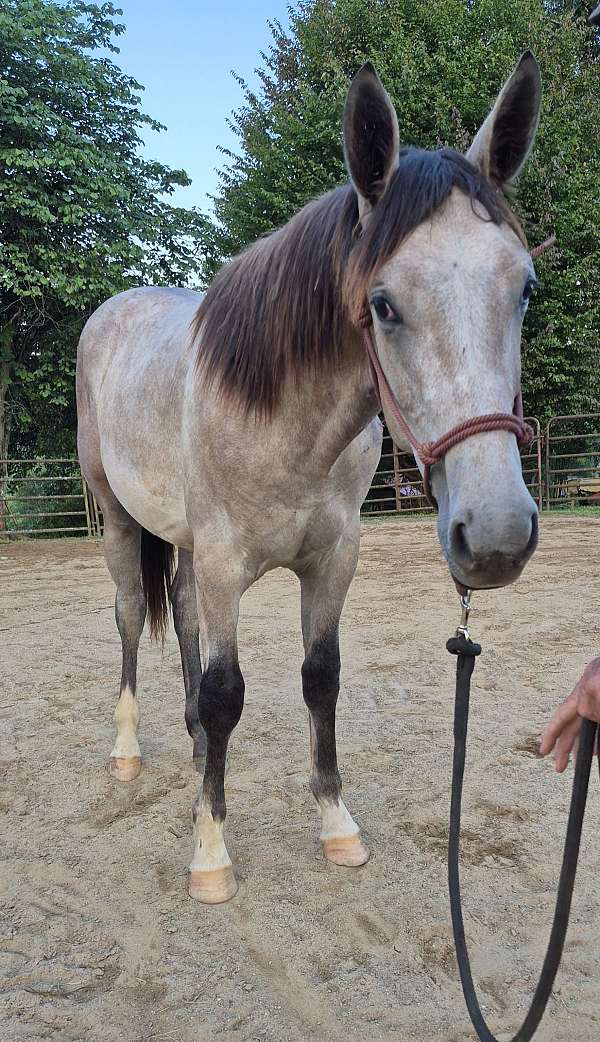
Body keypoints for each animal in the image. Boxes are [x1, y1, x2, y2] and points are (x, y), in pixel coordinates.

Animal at [76, 53, 541, 904]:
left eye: (524, 288)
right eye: (383, 304)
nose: (494, 535)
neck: (285, 421)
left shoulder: (333, 558)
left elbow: (319, 678)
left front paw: (336, 824)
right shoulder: (226, 559)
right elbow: (228, 693)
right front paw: (211, 853)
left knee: (181, 616)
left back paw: (194, 747)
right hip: (121, 520)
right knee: (130, 617)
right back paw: (128, 752)